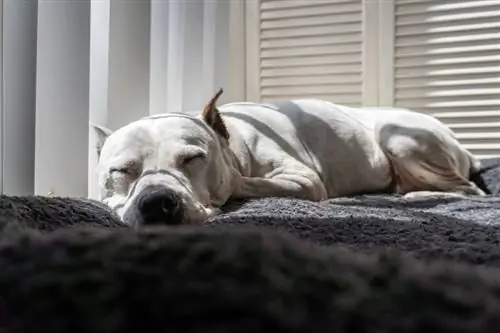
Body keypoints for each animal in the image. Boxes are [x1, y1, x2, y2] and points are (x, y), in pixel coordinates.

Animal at [93, 88, 484, 226]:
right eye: (121, 171)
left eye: (192, 159)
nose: (157, 202)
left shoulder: (303, 180)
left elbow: (243, 183)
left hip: (398, 136)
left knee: (470, 190)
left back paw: (415, 194)